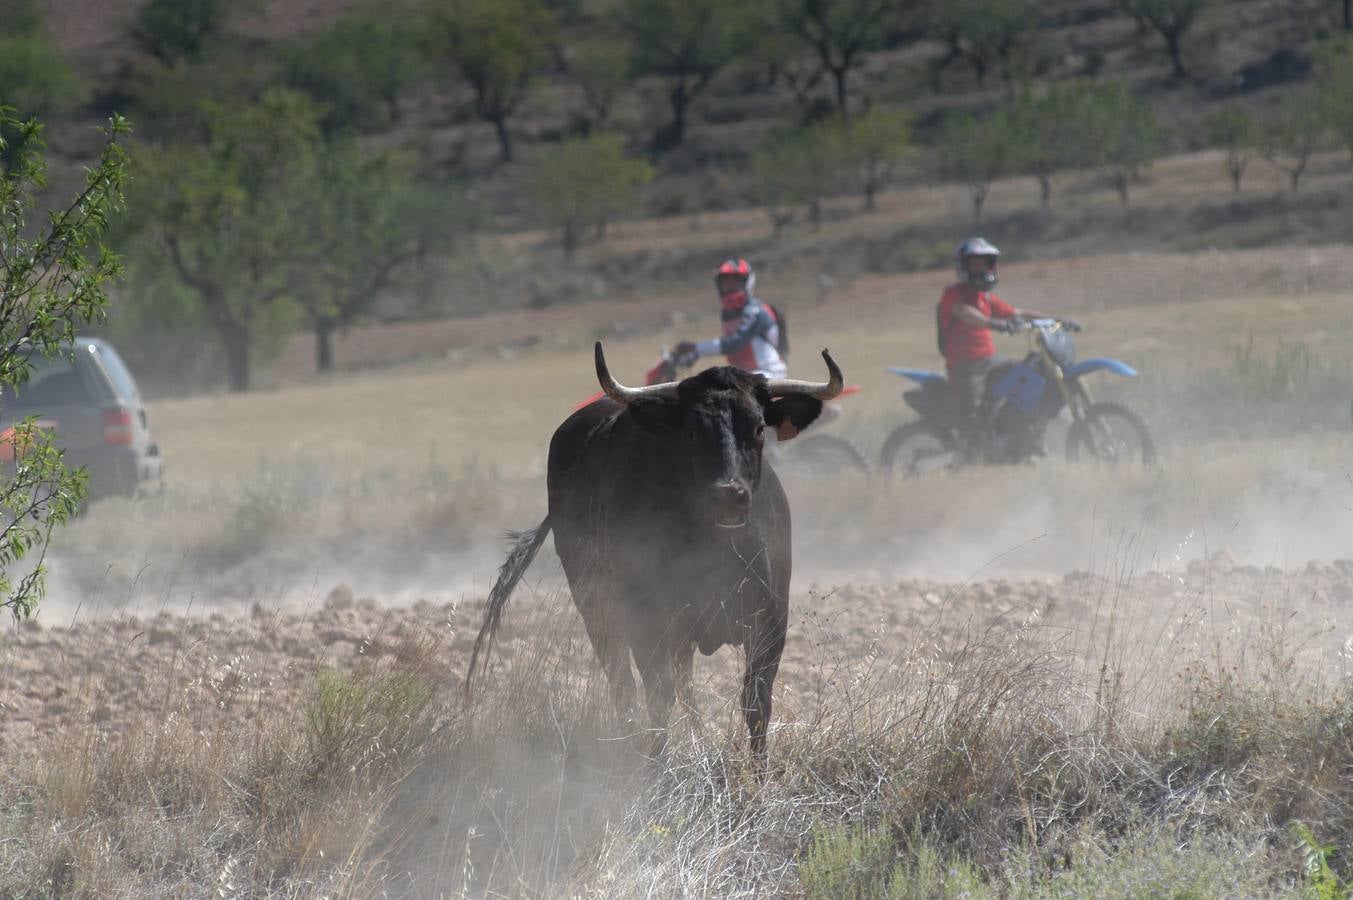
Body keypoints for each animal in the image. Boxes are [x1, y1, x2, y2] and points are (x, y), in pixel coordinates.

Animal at [468, 341, 844, 752]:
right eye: (692, 431)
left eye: (759, 427)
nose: (729, 494)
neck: (716, 545)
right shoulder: (648, 621)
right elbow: (658, 699)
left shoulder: (771, 620)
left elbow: (756, 702)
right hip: (595, 606)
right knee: (625, 685)